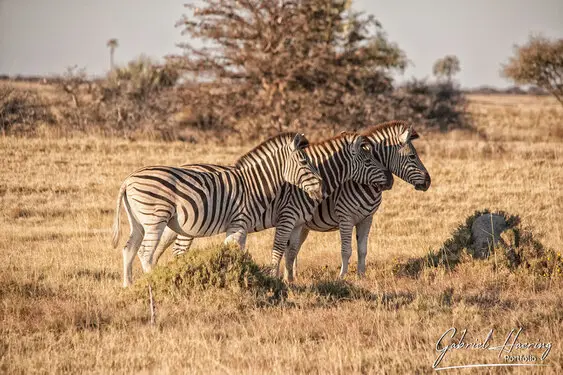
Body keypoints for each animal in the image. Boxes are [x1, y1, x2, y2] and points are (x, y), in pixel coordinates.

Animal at [110, 133, 324, 288]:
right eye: (304, 162)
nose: (321, 187)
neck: (253, 185)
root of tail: (128, 180)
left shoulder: (241, 228)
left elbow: (237, 253)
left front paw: (239, 278)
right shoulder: (239, 224)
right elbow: (231, 252)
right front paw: (233, 280)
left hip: (137, 222)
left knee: (129, 248)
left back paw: (128, 286)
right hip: (155, 219)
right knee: (145, 252)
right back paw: (153, 282)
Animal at [152, 132, 394, 280]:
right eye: (368, 161)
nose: (389, 181)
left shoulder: (299, 222)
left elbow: (291, 251)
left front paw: (289, 279)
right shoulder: (287, 218)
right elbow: (278, 249)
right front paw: (273, 276)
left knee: (164, 241)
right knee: (176, 247)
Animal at [284, 119, 434, 280]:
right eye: (412, 156)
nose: (428, 182)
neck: (365, 184)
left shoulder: (367, 218)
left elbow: (362, 250)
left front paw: (361, 276)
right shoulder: (346, 218)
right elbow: (346, 250)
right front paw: (342, 277)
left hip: (303, 225)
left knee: (294, 248)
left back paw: (293, 275)